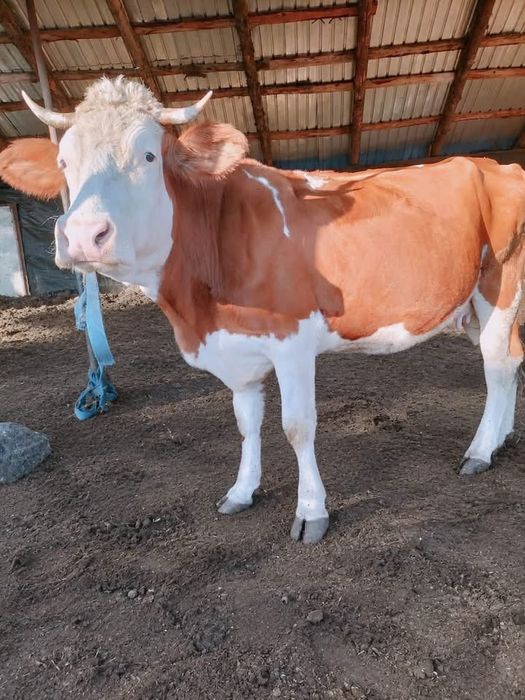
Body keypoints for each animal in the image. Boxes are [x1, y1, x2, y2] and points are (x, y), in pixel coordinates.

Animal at [1, 77, 524, 544]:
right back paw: (500, 440)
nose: (82, 235)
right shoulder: (237, 347)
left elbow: (297, 427)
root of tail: (497, 166)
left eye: (148, 156)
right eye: (65, 161)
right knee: (512, 362)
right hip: (475, 304)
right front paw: (242, 491)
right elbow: (246, 422)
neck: (197, 313)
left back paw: (480, 451)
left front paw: (311, 512)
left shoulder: (292, 340)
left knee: (497, 366)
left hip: (500, 286)